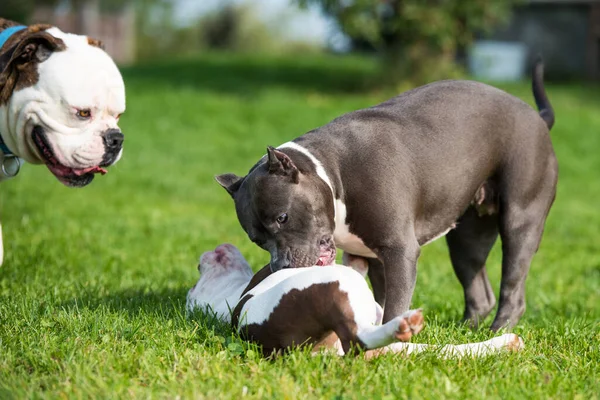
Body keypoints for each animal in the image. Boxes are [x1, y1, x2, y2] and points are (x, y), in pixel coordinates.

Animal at [217, 57, 556, 330]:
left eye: (283, 217)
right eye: (257, 240)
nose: (282, 268)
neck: (333, 172)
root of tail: (537, 117)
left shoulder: (399, 251)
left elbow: (395, 306)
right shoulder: (373, 257)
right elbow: (380, 300)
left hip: (520, 222)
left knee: (513, 286)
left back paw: (498, 331)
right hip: (466, 239)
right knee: (479, 292)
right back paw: (466, 331)